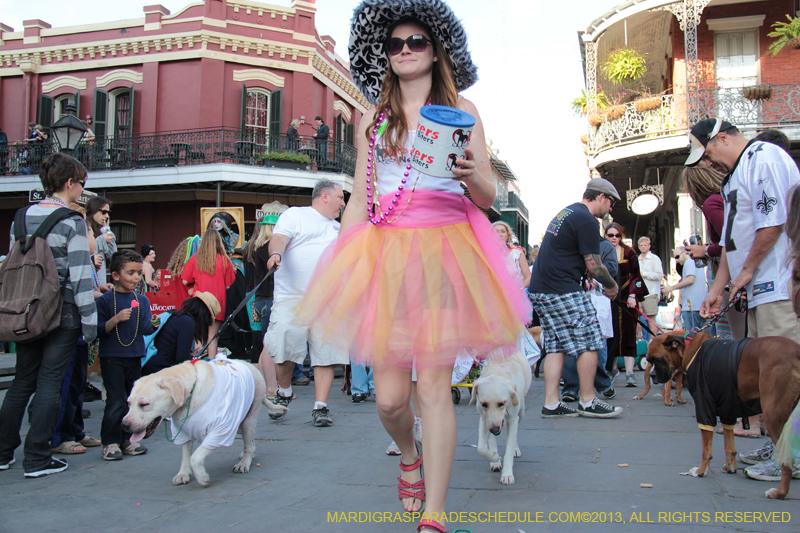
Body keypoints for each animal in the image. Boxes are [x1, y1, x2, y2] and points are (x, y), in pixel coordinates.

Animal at [123, 358, 286, 486]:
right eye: (129, 403)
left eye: (144, 404)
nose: (124, 425)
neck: (190, 394)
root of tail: (250, 365)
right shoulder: (183, 431)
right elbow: (186, 454)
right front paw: (183, 473)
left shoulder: (219, 431)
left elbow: (195, 457)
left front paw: (202, 477)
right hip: (239, 421)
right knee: (249, 441)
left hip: (248, 419)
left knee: (248, 440)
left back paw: (244, 462)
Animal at [468, 352, 532, 484]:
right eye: (484, 404)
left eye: (501, 403)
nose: (494, 429)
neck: (497, 371)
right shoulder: (484, 418)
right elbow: (481, 448)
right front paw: (494, 458)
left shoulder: (512, 419)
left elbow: (509, 446)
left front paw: (507, 474)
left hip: (521, 412)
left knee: (514, 434)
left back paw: (515, 449)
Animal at [644, 328, 800, 498]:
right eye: (649, 360)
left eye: (658, 360)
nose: (652, 375)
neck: (690, 347)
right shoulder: (728, 411)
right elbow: (729, 444)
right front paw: (730, 467)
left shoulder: (705, 406)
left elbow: (706, 449)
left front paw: (701, 471)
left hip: (773, 417)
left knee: (787, 459)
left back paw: (780, 493)